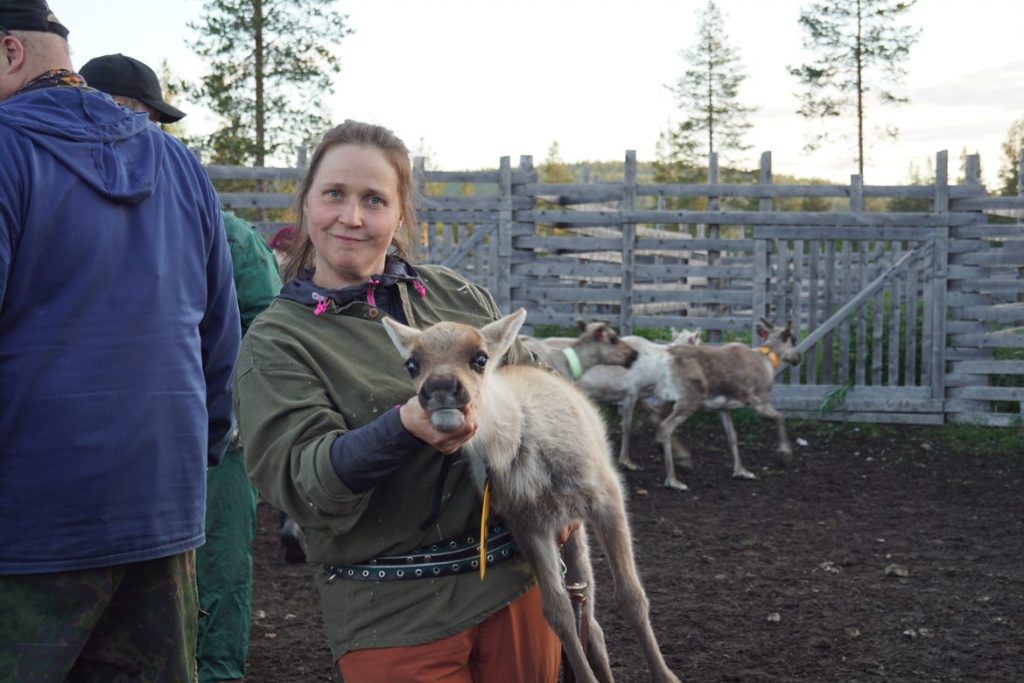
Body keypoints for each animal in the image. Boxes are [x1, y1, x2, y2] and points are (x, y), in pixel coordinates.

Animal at [382, 309, 680, 683]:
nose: (440, 388)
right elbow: (558, 613)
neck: (520, 447)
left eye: (480, 358)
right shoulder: (526, 523)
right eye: (412, 363)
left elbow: (632, 596)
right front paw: (583, 676)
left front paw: (666, 675)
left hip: (577, 526)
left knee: (591, 607)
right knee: (588, 616)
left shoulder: (607, 494)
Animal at [576, 329, 702, 474]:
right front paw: (626, 461)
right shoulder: (631, 393)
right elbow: (627, 426)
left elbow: (656, 418)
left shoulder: (642, 396)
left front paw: (683, 457)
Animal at [653, 318, 802, 491]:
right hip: (689, 400)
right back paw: (672, 480)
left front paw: (741, 471)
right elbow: (780, 417)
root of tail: (668, 357)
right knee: (666, 427)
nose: (798, 358)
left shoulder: (724, 408)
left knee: (657, 417)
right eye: (793, 340)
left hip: (671, 400)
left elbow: (732, 436)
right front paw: (784, 456)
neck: (767, 361)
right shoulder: (755, 398)